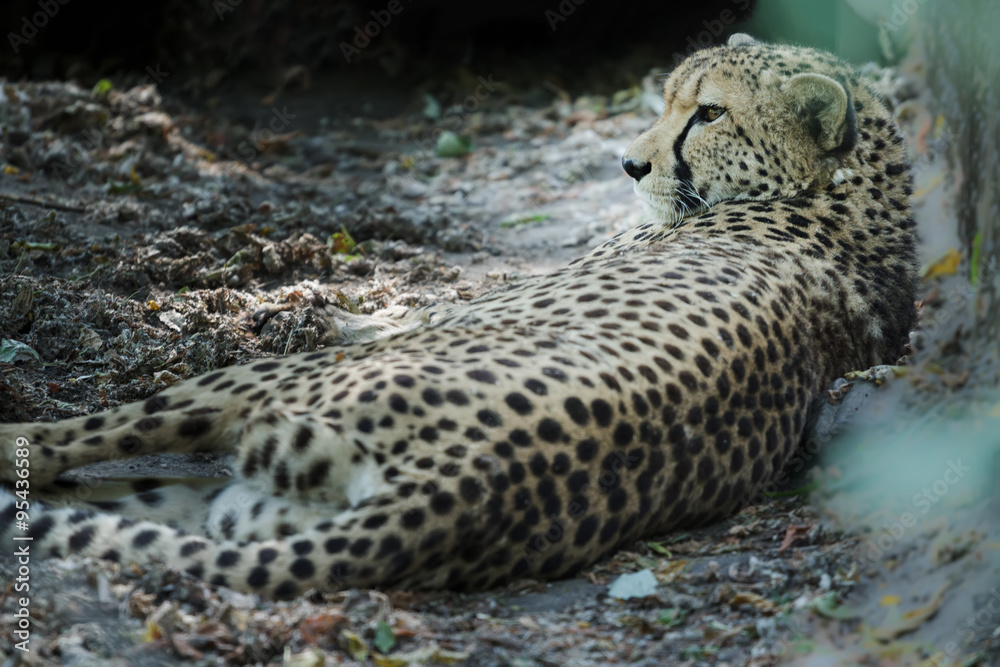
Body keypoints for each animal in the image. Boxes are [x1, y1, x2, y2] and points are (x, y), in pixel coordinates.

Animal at [0, 34, 918, 600]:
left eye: (712, 113)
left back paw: (18, 436)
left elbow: (411, 311)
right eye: (667, 100)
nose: (630, 164)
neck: (851, 196)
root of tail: (472, 486)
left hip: (263, 386)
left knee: (91, 437)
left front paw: (340, 311)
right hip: (247, 509)